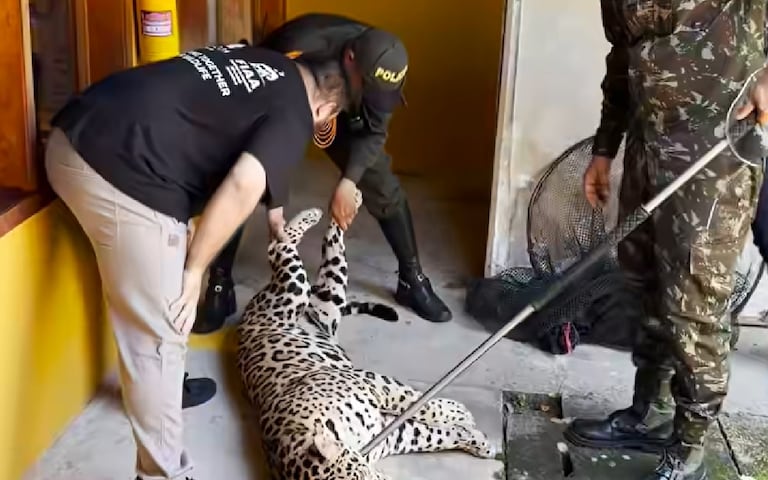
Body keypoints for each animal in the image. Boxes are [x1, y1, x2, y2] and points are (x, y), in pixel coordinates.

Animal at [236, 190, 495, 480]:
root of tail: (245, 315)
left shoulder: (371, 383)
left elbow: (416, 401)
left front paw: (459, 414)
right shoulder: (391, 433)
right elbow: (433, 435)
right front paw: (476, 439)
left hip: (295, 291)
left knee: (281, 248)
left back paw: (334, 205)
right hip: (329, 298)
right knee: (322, 249)